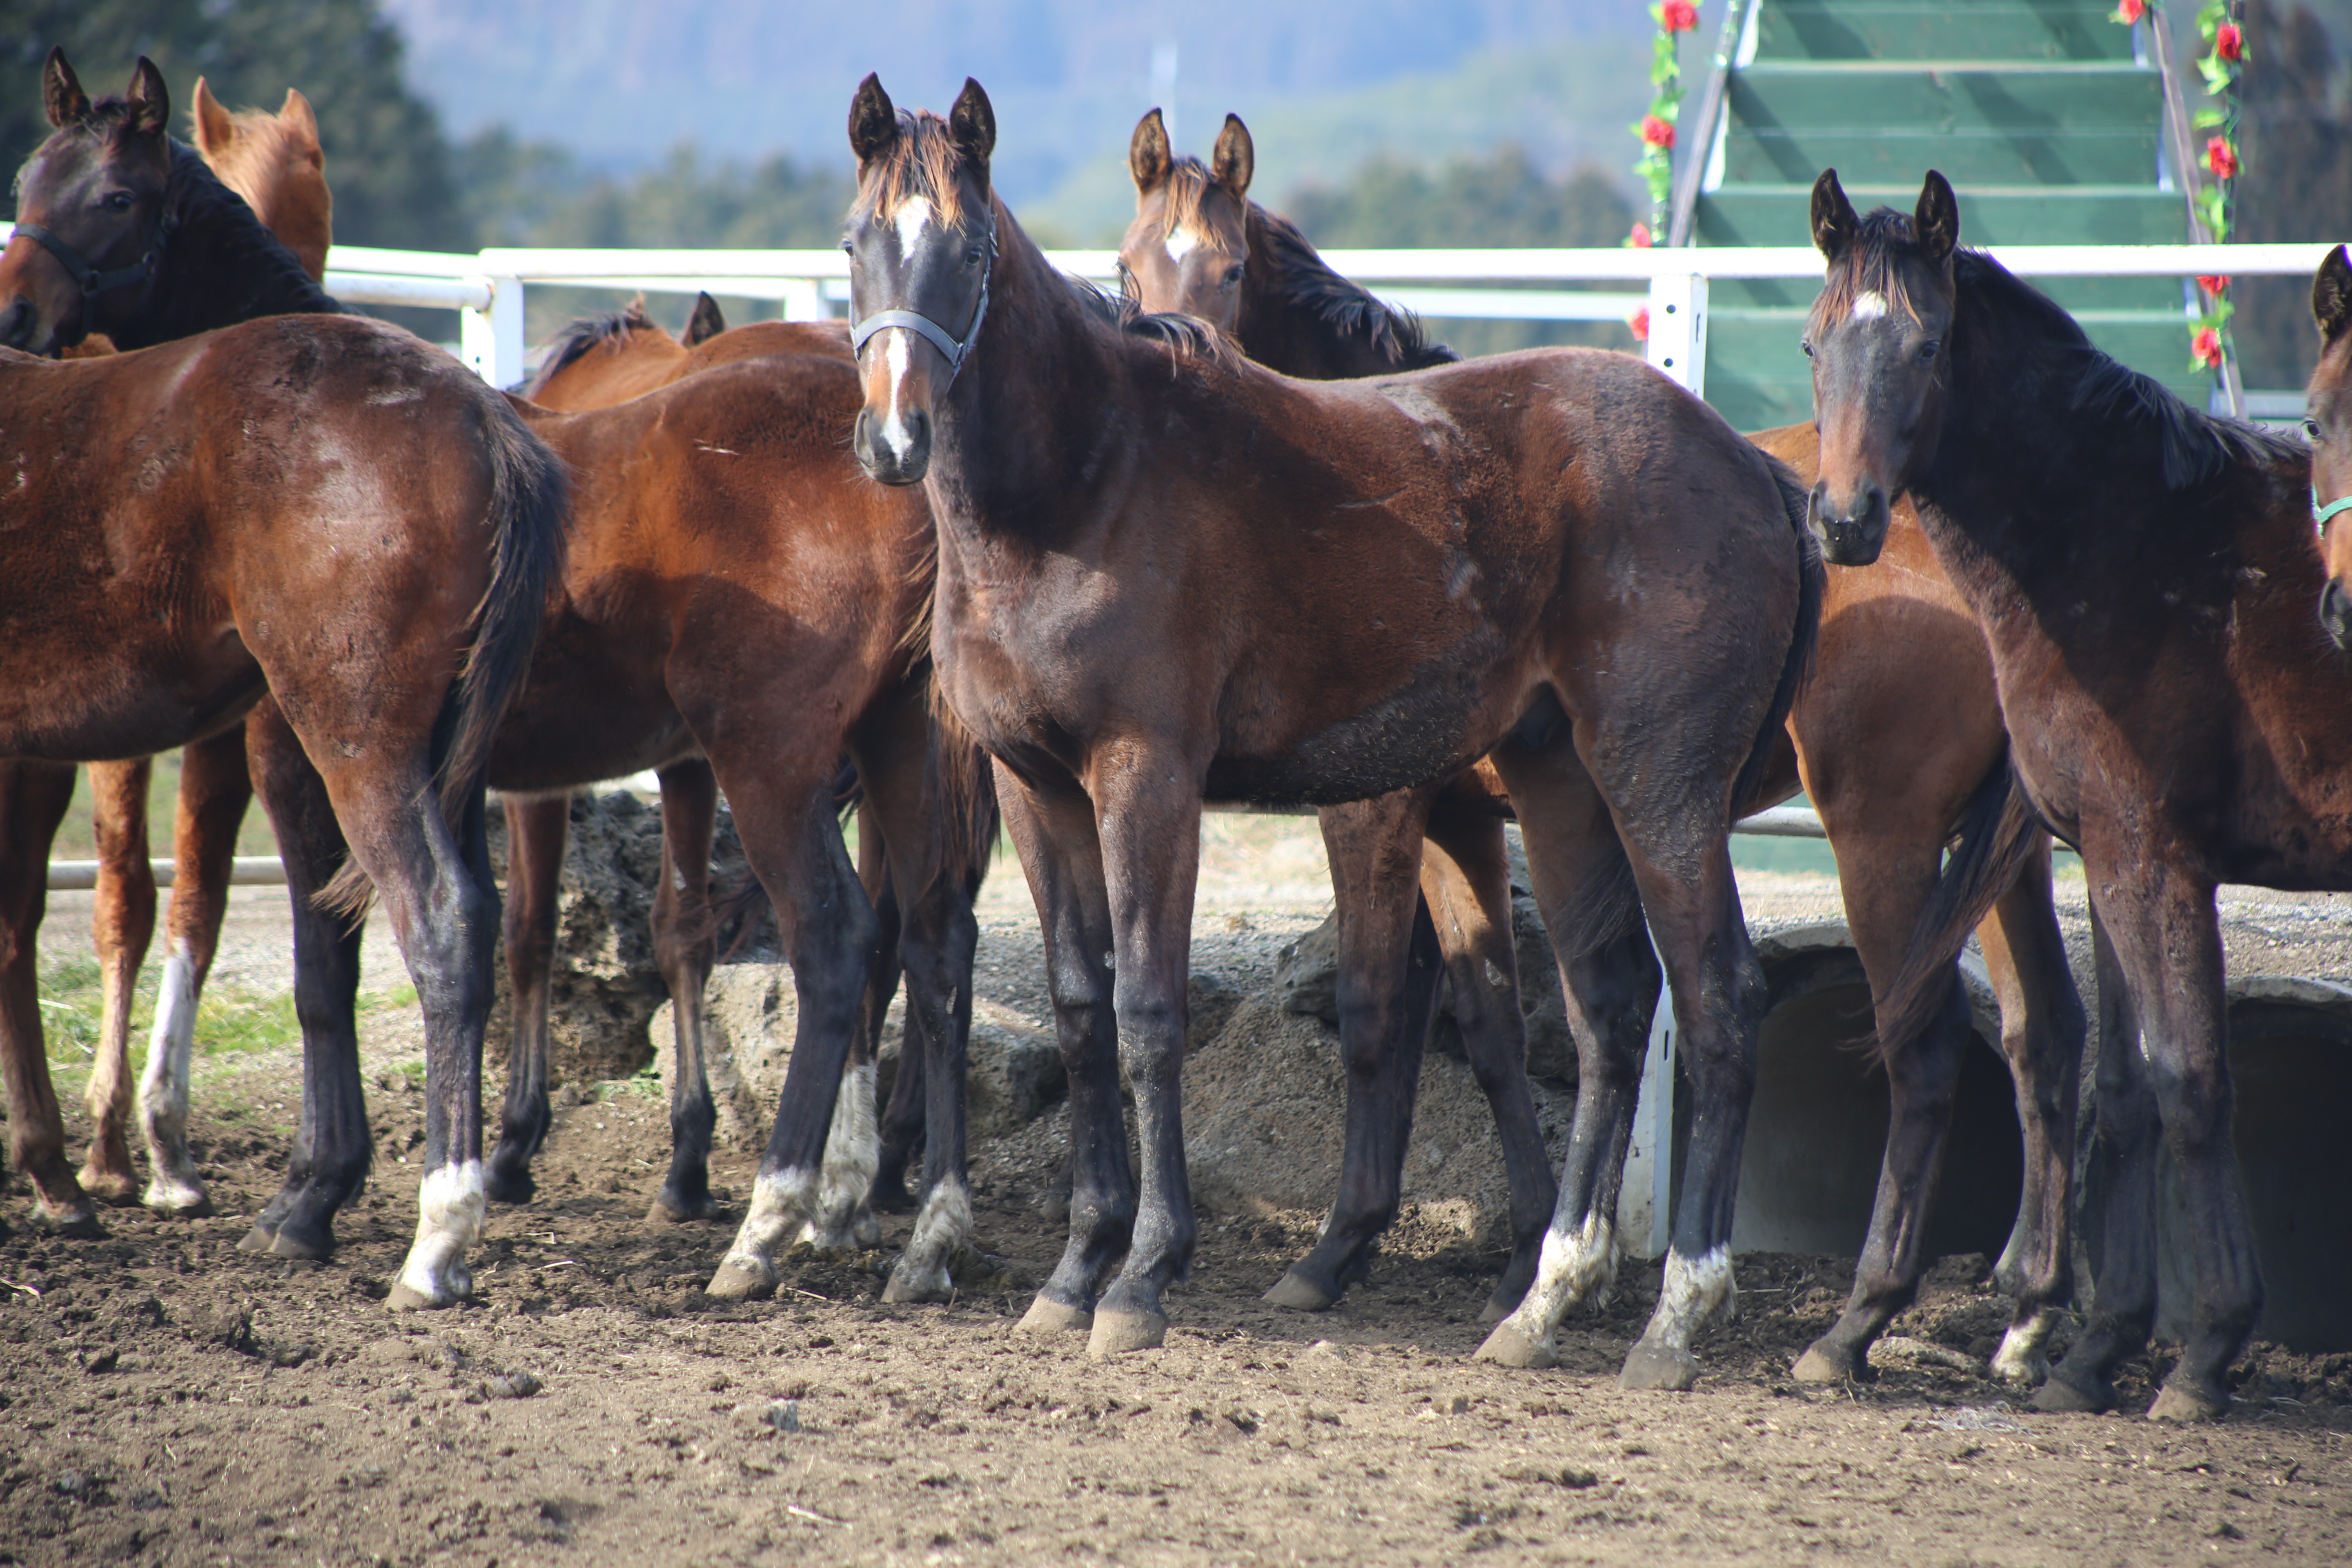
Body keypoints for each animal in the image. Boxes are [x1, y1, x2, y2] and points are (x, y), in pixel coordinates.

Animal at [0, 58, 564, 1316]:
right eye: (25, 184)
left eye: (116, 198)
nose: (12, 313)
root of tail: (482, 419)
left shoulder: (267, 745)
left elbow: (313, 959)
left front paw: (302, 1191)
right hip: (443, 762)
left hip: (362, 748)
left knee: (441, 921)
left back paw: (437, 1235)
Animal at [846, 76, 1815, 1382]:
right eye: (857, 243)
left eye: (969, 252)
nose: (895, 440)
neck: (1081, 483)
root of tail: (1755, 473)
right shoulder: (1033, 786)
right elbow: (1082, 1008)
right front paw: (1075, 1267)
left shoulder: (1158, 780)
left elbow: (1156, 1013)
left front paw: (1145, 1274)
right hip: (1561, 787)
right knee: (1608, 1012)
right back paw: (1545, 1297)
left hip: (1661, 788)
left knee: (1716, 1000)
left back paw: (1675, 1314)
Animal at [1119, 113, 2098, 1382]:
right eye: (1130, 268)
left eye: (1230, 269)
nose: (1180, 359)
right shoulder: (1464, 817)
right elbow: (1492, 1022)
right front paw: (1522, 1254)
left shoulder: (1376, 808)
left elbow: (1379, 1011)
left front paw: (1338, 1251)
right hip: (1997, 862)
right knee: (2044, 1038)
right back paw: (2029, 1314)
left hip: (1878, 837)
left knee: (1925, 1048)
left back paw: (1854, 1320)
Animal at [1797, 172, 2333, 1420]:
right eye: (1811, 345)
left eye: (1927, 345)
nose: (1842, 520)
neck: (2131, 537)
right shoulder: (2104, 853)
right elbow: (2121, 1086)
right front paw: (2095, 1350)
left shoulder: (2154, 857)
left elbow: (2188, 1079)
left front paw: (2204, 1349)